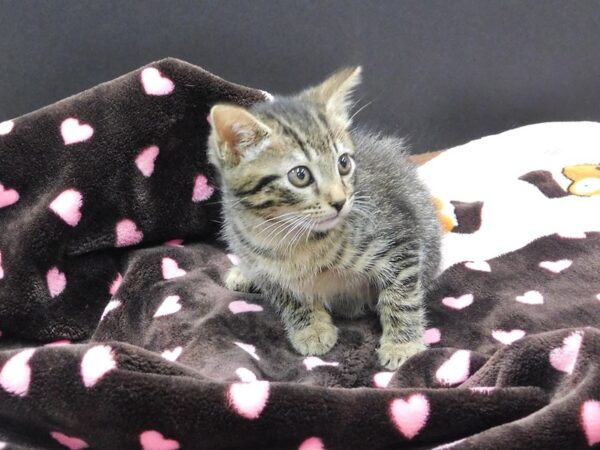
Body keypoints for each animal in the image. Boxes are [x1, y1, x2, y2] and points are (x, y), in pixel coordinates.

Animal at [206, 67, 440, 370]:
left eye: (344, 163)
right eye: (300, 175)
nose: (340, 201)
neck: (291, 236)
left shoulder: (400, 239)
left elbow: (402, 296)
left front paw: (403, 345)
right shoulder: (268, 270)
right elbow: (290, 298)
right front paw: (310, 329)